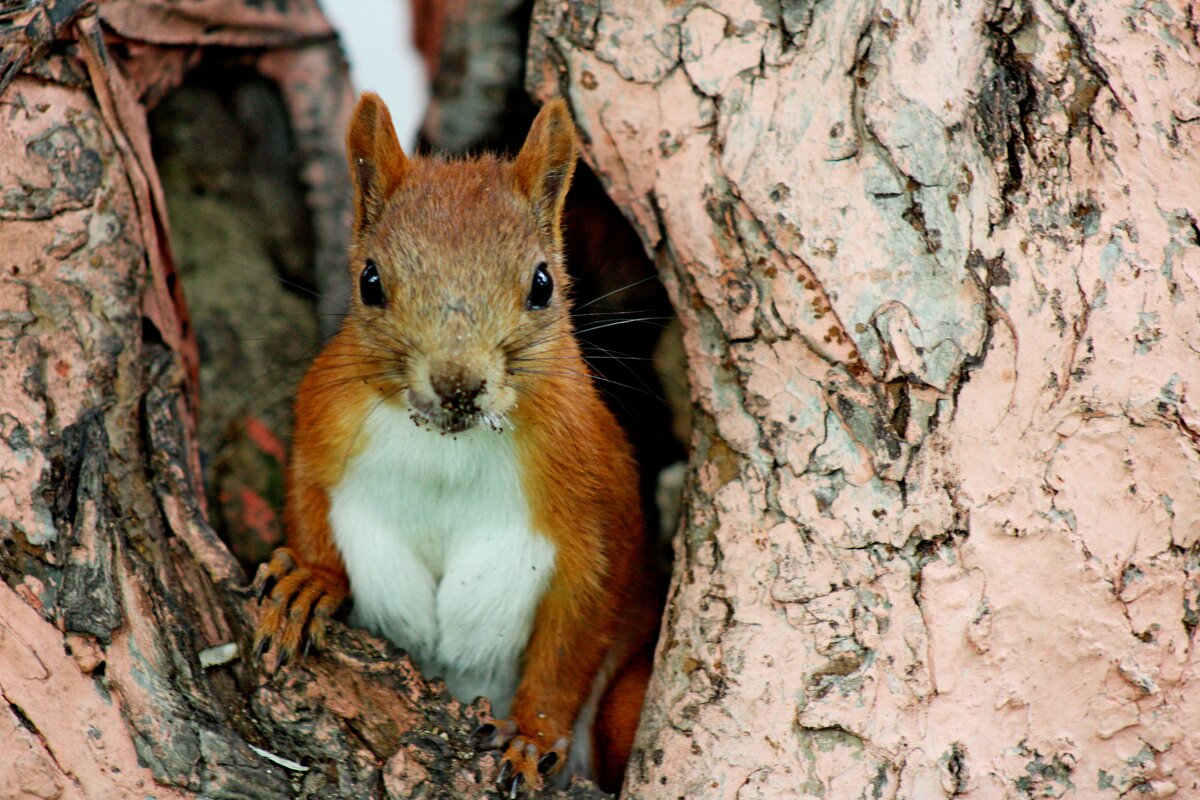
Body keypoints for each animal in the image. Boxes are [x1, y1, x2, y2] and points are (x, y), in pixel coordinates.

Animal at [253, 94, 662, 796]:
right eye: (370, 281)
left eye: (543, 284)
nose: (457, 384)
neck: (447, 447)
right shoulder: (323, 422)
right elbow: (306, 497)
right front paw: (309, 580)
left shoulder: (597, 501)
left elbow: (575, 633)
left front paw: (531, 735)